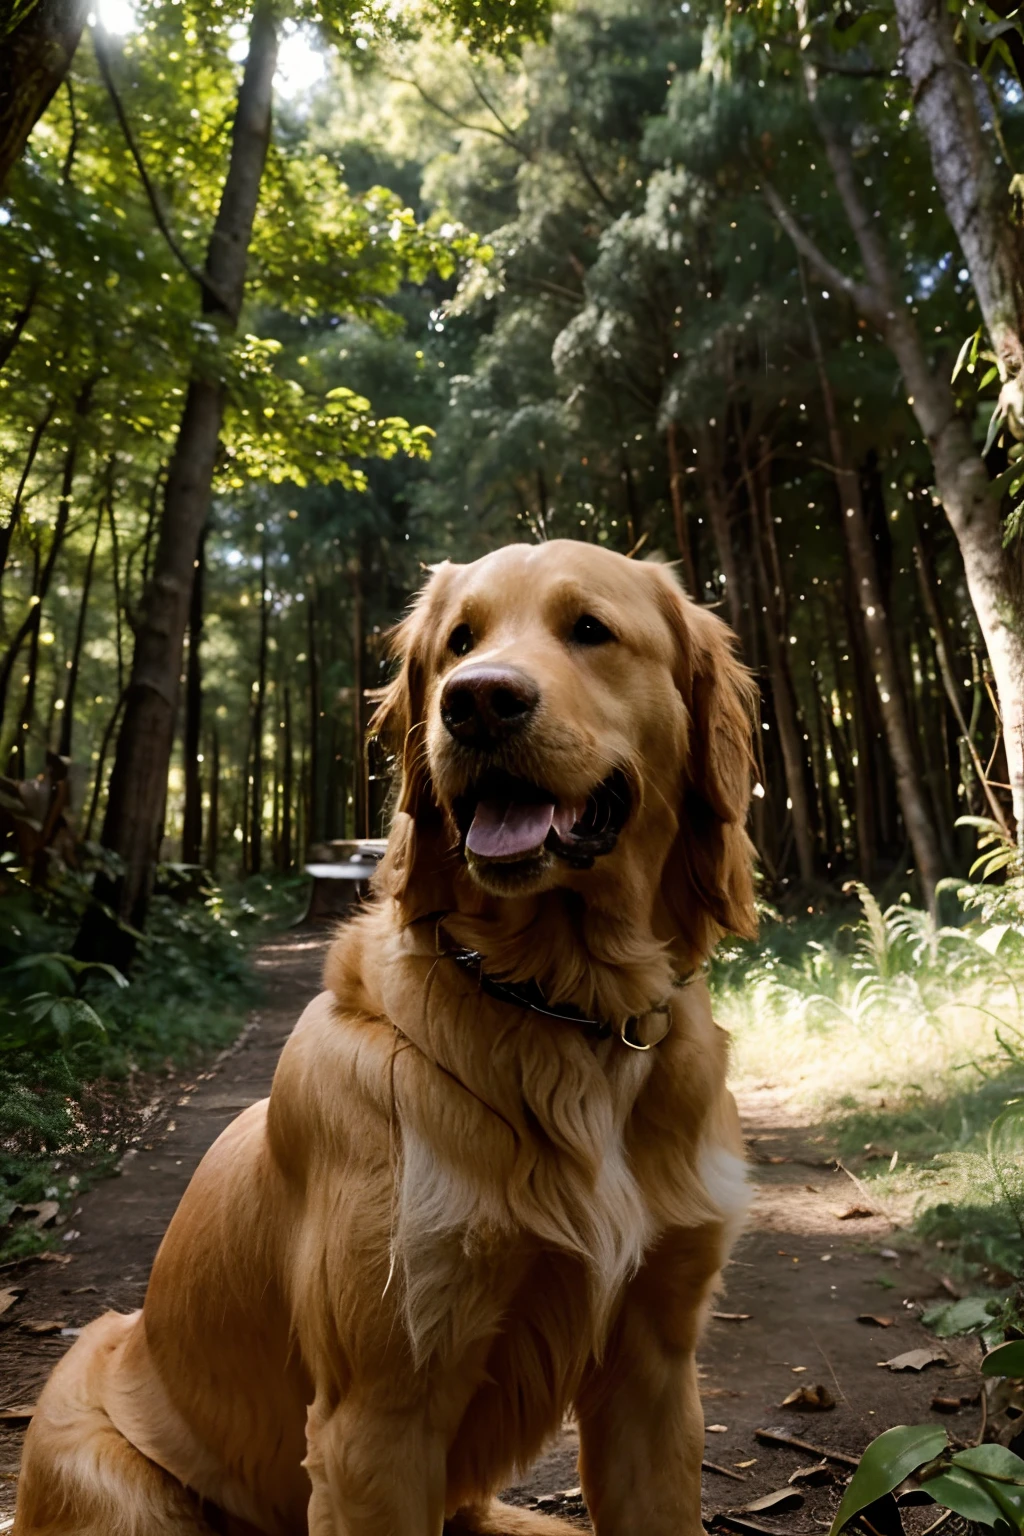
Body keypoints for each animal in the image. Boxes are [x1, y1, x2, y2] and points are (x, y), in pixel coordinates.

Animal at [11, 540, 758, 1536]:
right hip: (94, 1449)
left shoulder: (656, 1373)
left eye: (590, 629)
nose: (477, 702)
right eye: (458, 643)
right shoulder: (379, 1413)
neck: (560, 1006)